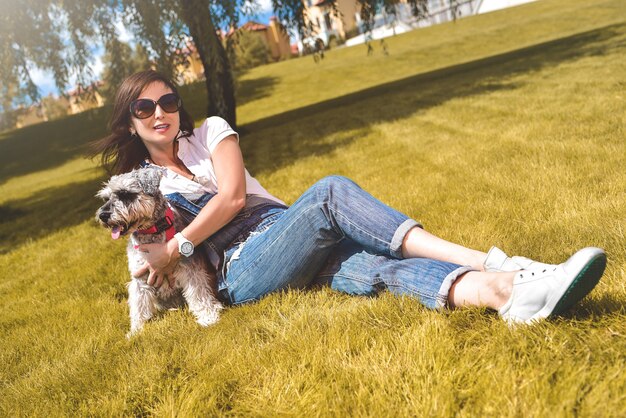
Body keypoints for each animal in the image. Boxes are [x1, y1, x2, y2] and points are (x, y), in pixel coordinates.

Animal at [95, 167, 222, 336]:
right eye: (106, 198)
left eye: (125, 194)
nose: (103, 215)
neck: (153, 231)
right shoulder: (140, 278)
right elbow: (138, 306)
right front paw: (135, 331)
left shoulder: (191, 270)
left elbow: (199, 294)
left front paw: (208, 317)